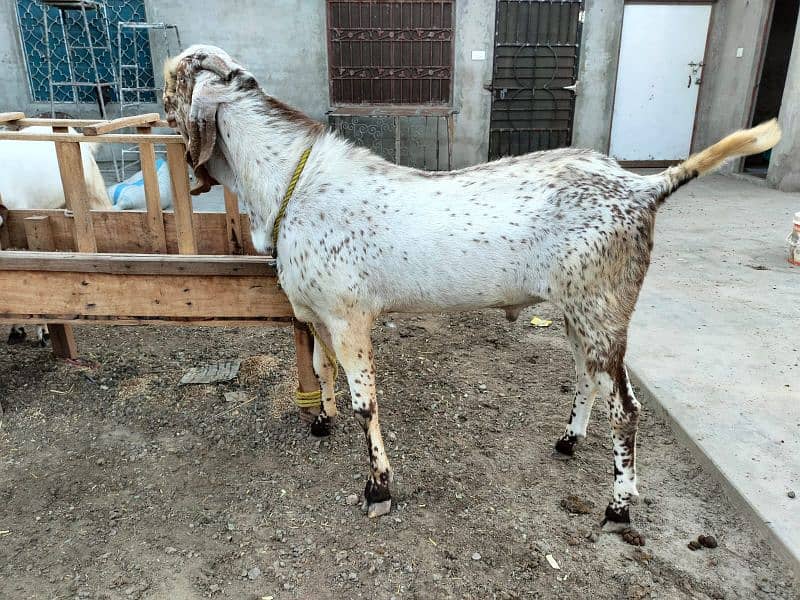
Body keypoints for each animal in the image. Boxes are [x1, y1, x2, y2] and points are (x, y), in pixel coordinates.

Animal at [164, 47, 780, 544]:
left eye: (171, 99)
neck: (296, 185)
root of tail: (643, 186)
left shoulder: (350, 317)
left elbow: (367, 402)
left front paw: (378, 489)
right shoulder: (317, 312)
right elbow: (321, 368)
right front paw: (321, 422)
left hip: (604, 309)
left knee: (625, 409)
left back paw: (618, 507)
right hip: (578, 311)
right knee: (585, 373)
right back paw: (568, 440)